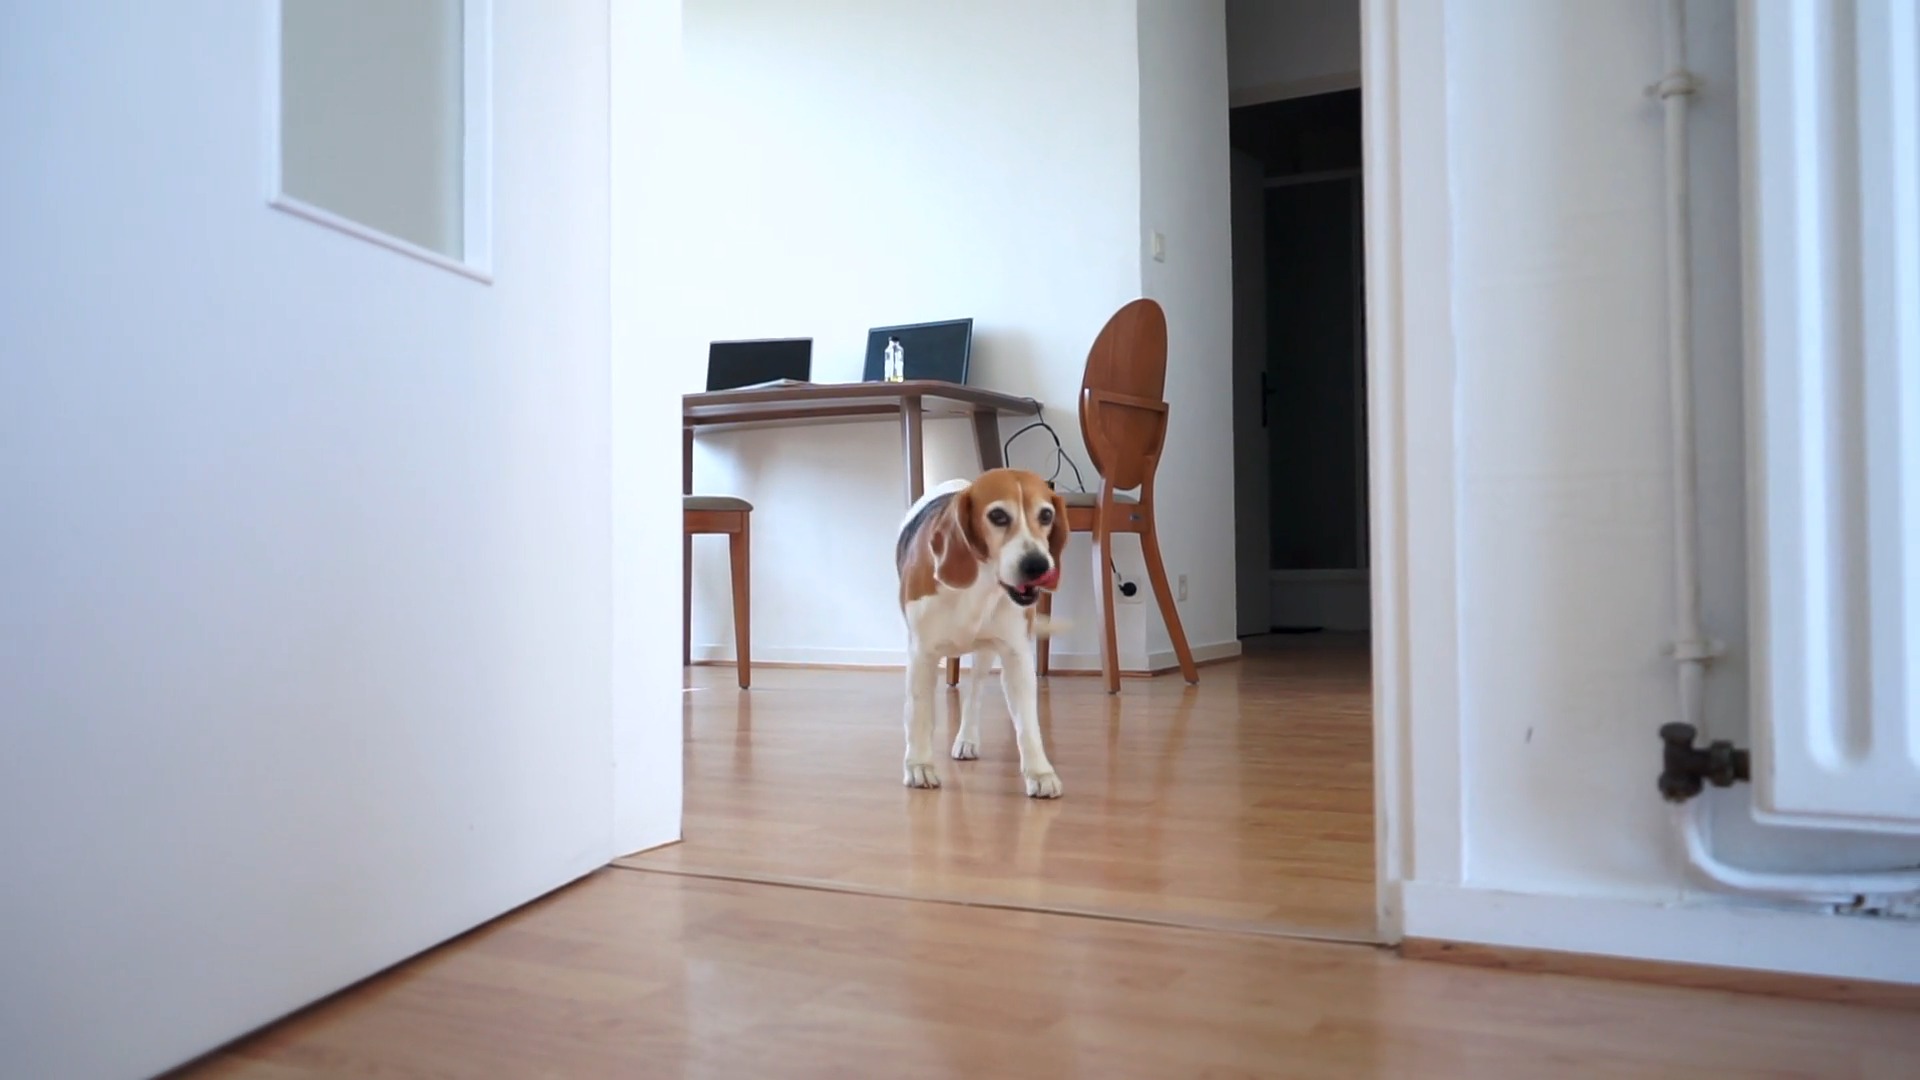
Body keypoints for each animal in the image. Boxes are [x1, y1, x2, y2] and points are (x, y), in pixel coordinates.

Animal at [894, 468, 1069, 797]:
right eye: (998, 516)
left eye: (1046, 515)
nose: (1038, 565)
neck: (981, 582)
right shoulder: (922, 654)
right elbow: (919, 714)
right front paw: (919, 766)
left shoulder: (1016, 656)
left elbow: (1028, 724)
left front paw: (1039, 772)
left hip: (986, 651)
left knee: (974, 693)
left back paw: (967, 738)